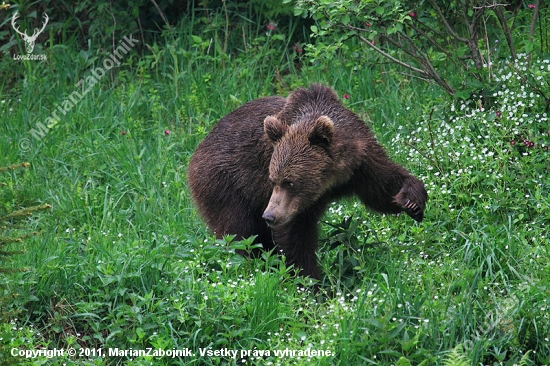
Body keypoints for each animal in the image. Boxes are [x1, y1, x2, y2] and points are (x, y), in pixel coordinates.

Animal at [189, 84, 426, 280]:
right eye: (273, 180)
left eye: (290, 182)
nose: (270, 216)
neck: (333, 178)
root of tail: (198, 150)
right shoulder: (290, 201)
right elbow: (294, 239)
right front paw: (313, 283)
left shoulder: (361, 163)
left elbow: (382, 189)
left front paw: (411, 201)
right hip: (225, 186)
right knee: (240, 234)